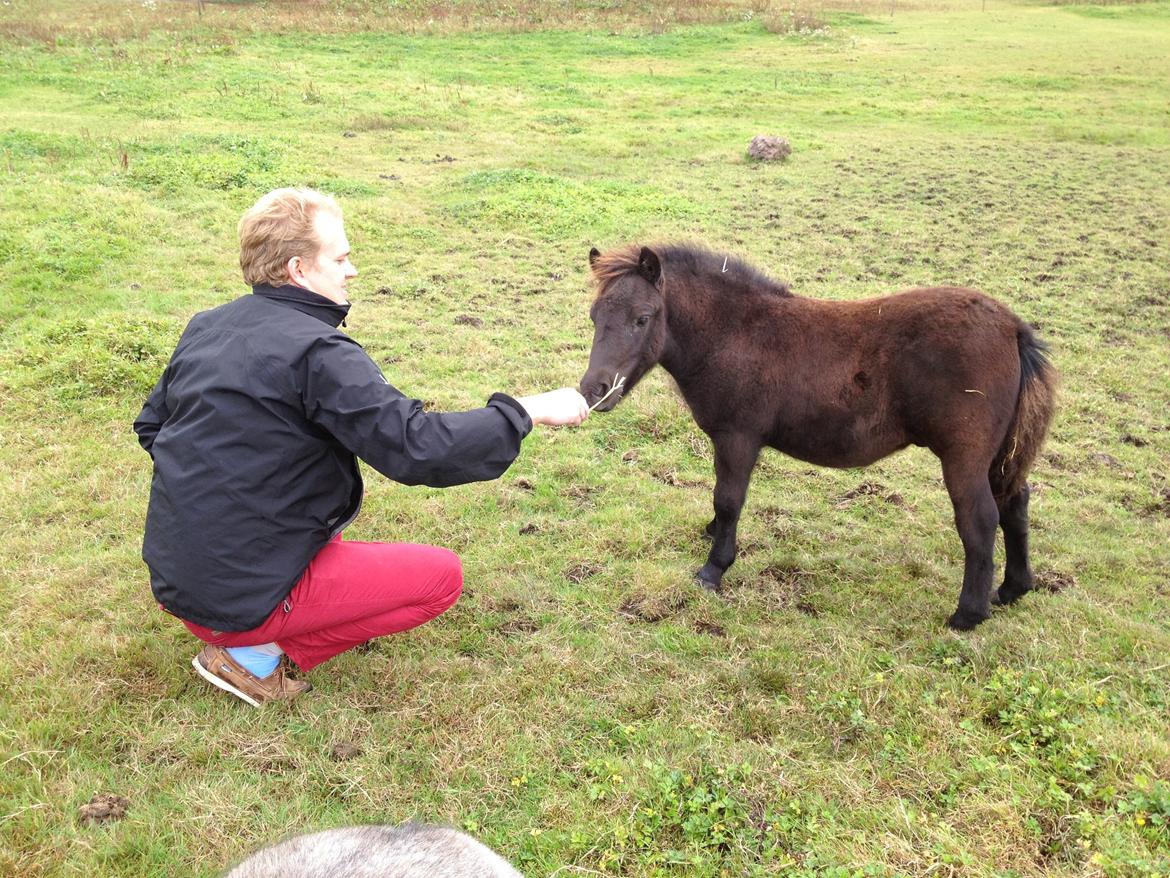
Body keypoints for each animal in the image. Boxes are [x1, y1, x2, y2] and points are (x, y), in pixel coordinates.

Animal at [580, 245, 1057, 632]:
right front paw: (711, 534)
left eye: (642, 318)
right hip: (1000, 454)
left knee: (980, 519)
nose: (593, 390)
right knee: (1016, 503)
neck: (735, 333)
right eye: (594, 317)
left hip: (964, 456)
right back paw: (1013, 589)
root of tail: (1012, 327)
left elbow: (729, 499)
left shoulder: (738, 437)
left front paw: (713, 570)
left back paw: (968, 614)